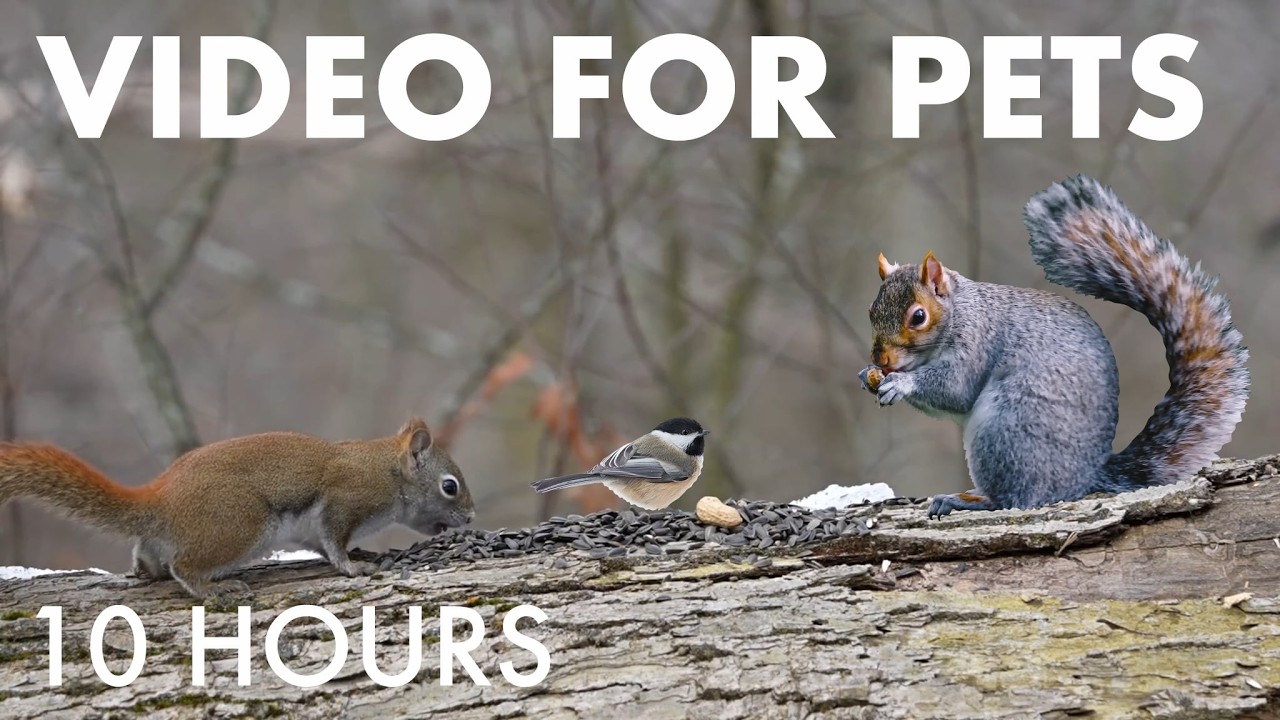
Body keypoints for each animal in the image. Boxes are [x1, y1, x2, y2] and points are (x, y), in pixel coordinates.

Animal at [0, 417, 475, 599]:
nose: (470, 518)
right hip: (241, 523)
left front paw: (359, 554)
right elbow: (334, 540)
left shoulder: (312, 529)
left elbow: (322, 544)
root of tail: (163, 498)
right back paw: (213, 589)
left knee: (148, 554)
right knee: (184, 567)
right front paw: (352, 566)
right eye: (450, 487)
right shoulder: (345, 499)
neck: (386, 470)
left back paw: (147, 570)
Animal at [859, 174, 1249, 518]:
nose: (880, 357)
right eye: (871, 310)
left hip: (1006, 430)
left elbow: (956, 390)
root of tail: (1084, 478)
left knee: (1015, 498)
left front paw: (901, 383)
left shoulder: (978, 342)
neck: (961, 310)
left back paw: (969, 500)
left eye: (918, 316)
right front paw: (868, 376)